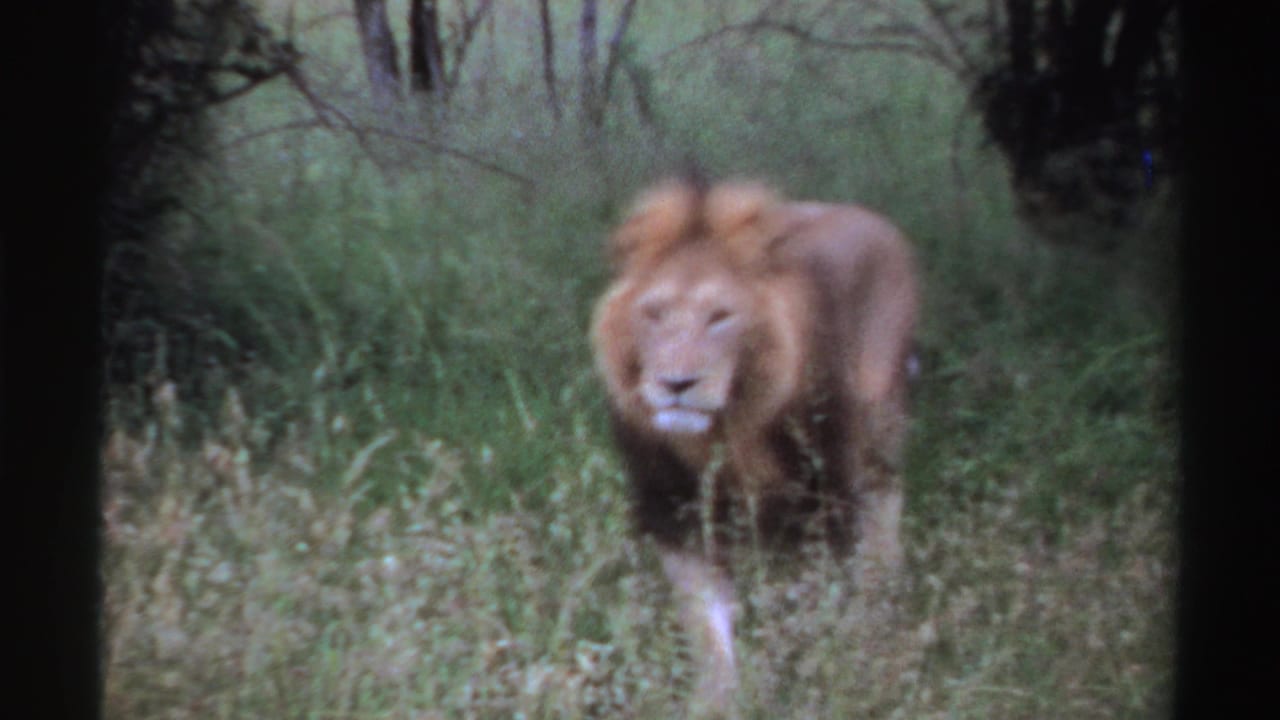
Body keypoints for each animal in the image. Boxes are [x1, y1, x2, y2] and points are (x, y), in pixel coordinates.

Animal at [590, 177, 919, 715]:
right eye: (654, 313)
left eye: (720, 317)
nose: (677, 383)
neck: (725, 429)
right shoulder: (675, 511)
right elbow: (707, 627)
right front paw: (715, 702)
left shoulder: (825, 497)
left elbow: (820, 603)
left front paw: (824, 671)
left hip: (879, 420)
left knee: (885, 505)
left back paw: (883, 601)